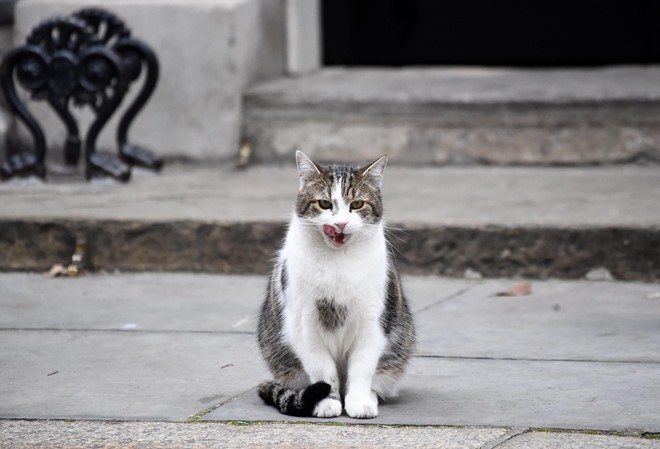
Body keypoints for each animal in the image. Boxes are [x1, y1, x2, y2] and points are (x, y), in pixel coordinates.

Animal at [256, 152, 416, 418]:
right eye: (324, 204)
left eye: (357, 204)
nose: (340, 224)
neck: (338, 262)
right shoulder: (303, 324)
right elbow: (322, 369)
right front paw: (327, 402)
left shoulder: (373, 321)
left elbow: (362, 367)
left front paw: (359, 401)